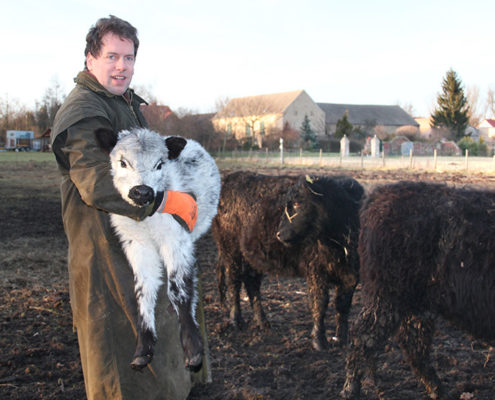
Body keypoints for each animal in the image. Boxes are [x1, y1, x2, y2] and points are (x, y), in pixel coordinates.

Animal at [94, 127, 221, 372]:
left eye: (160, 164)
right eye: (122, 162)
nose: (142, 191)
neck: (146, 221)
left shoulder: (176, 238)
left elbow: (178, 289)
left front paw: (193, 349)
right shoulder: (136, 244)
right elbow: (144, 290)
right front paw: (143, 348)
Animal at [213, 172, 364, 350]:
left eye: (298, 203)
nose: (279, 234)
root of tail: (230, 178)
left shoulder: (351, 275)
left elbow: (343, 305)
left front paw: (342, 340)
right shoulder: (316, 270)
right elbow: (320, 302)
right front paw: (319, 341)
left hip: (253, 256)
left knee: (251, 282)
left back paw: (262, 322)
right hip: (230, 249)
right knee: (234, 282)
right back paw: (236, 320)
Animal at [342, 182, 495, 400]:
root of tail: (379, 195)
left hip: (417, 305)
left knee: (411, 344)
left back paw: (437, 390)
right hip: (387, 299)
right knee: (362, 337)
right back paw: (351, 389)